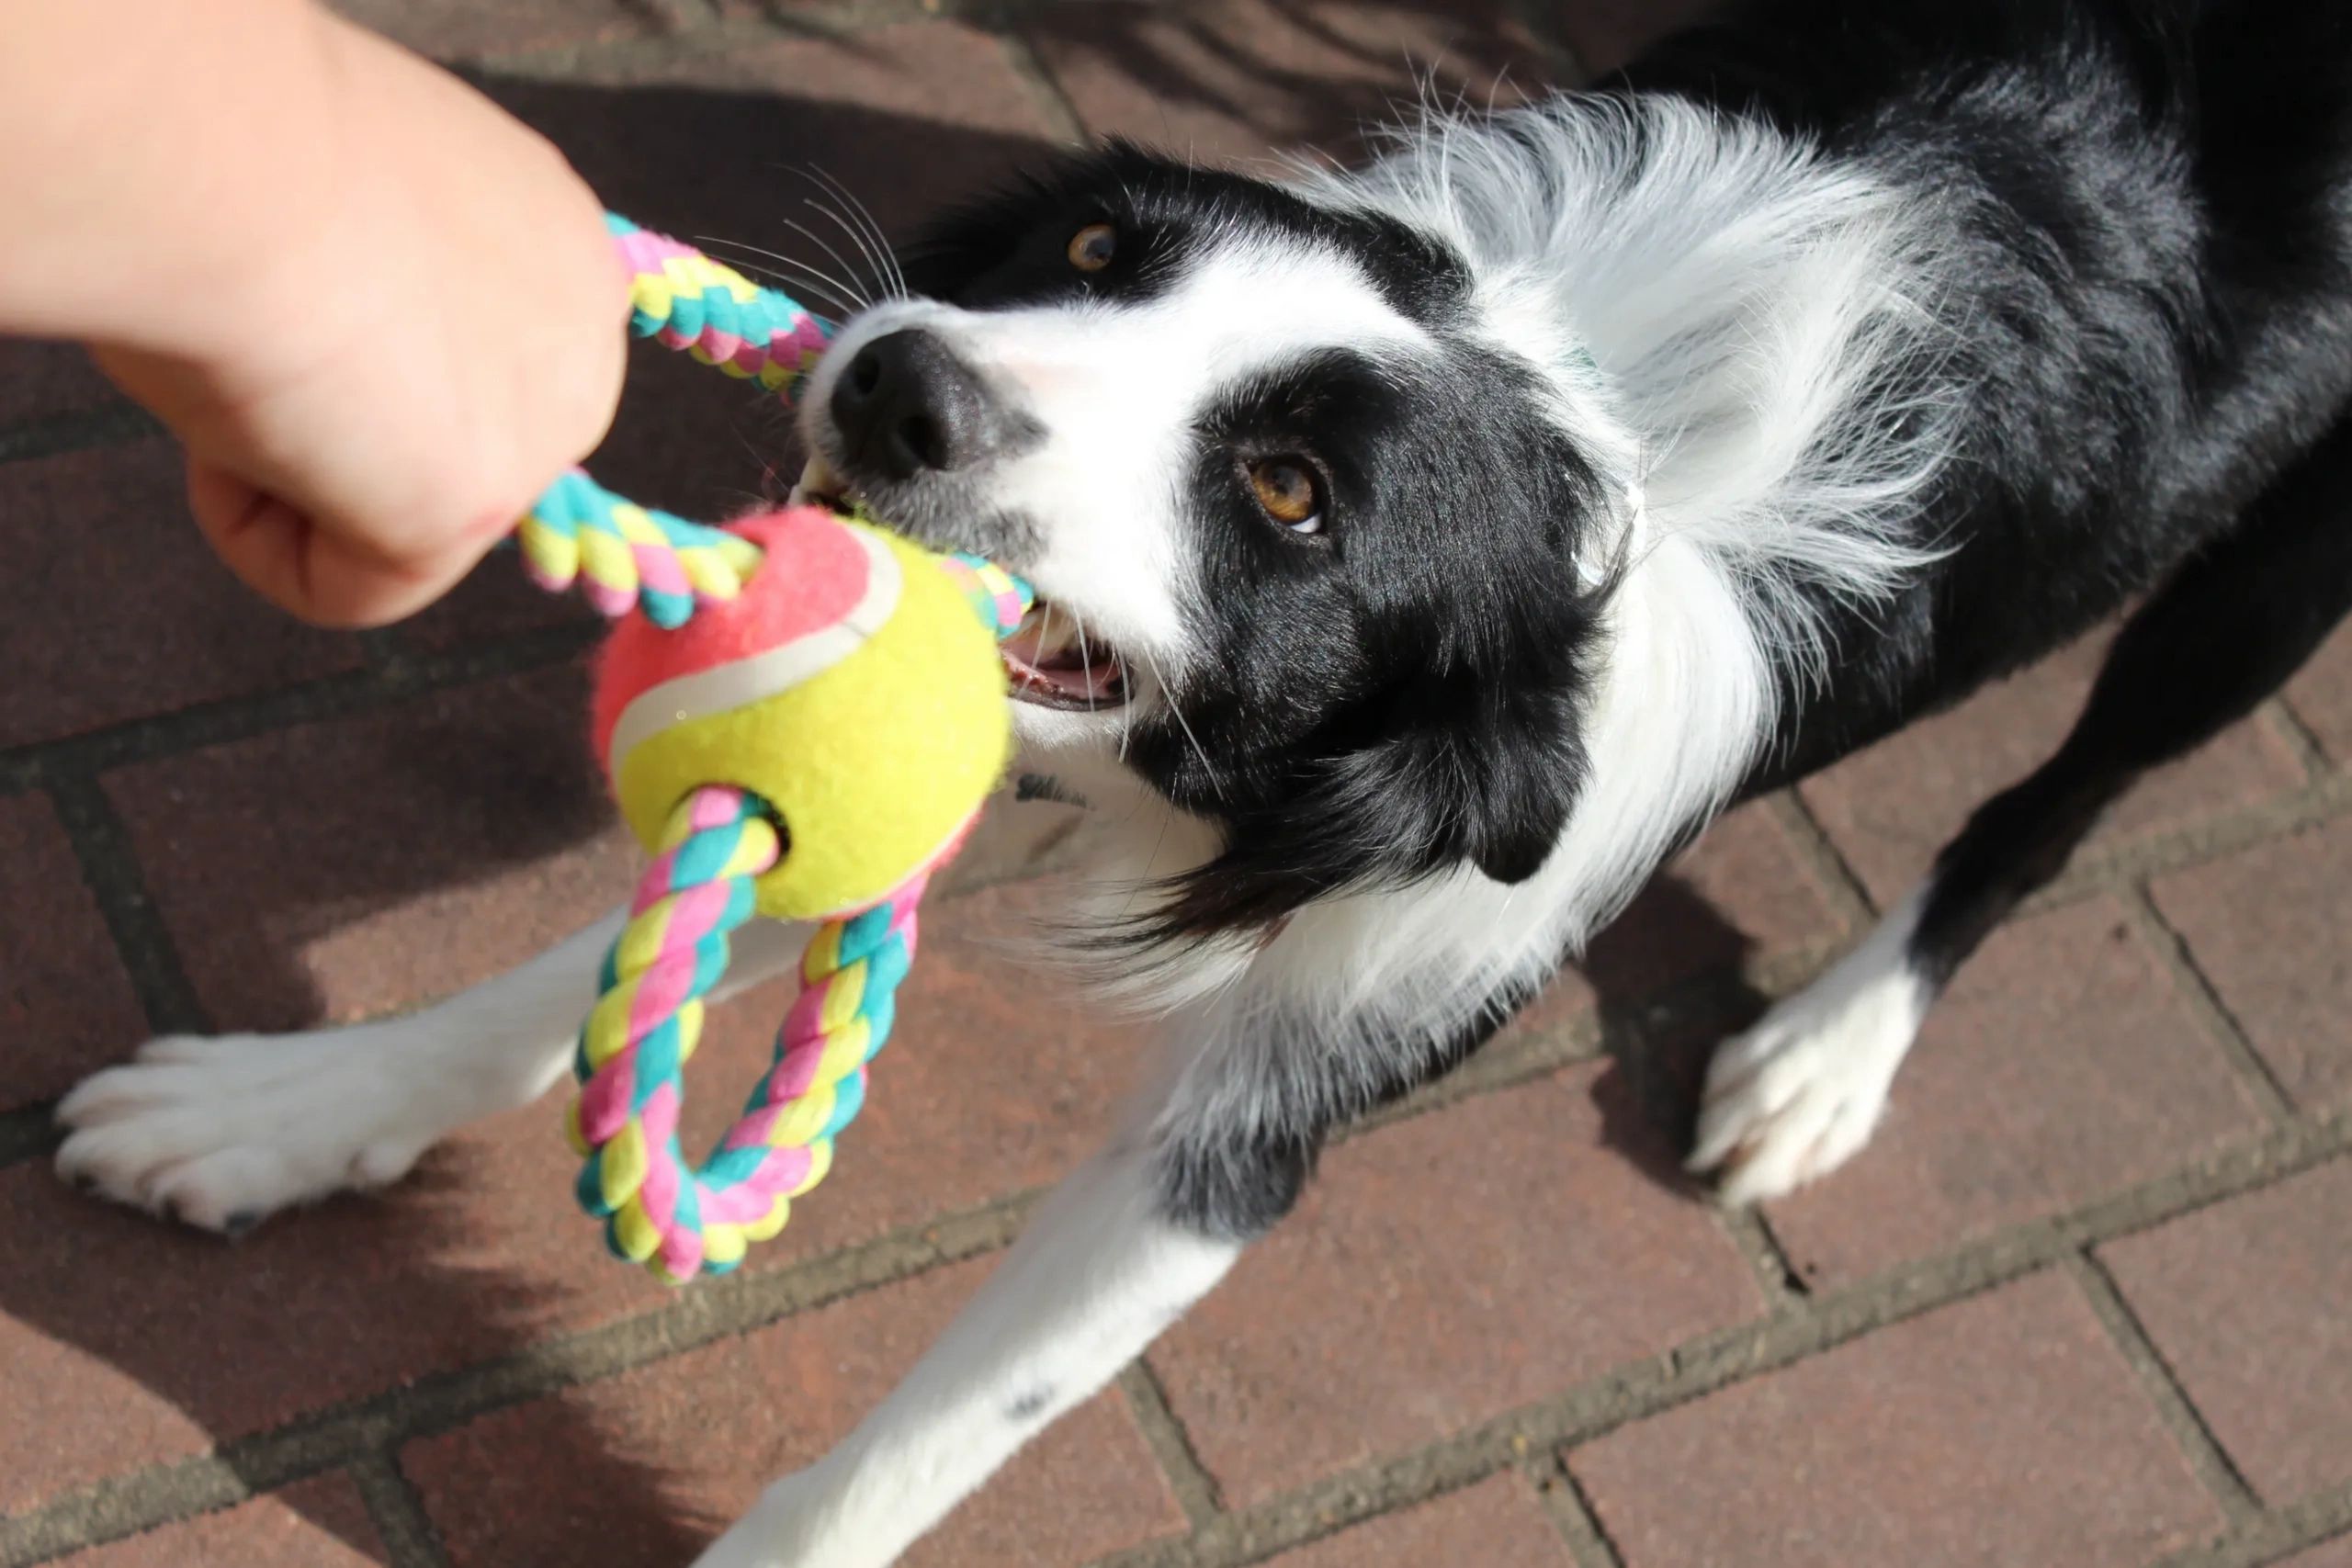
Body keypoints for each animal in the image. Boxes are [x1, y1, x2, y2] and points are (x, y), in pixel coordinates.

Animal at [51, 0, 2352, 1561]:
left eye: (1288, 494)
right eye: (1088, 256)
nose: (898, 385)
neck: (1569, 406)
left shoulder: (1294, 1074)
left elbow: (938, 1430)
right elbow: (585, 963)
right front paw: (285, 1109)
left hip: (2254, 601)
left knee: (2041, 806)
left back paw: (1831, 1048)